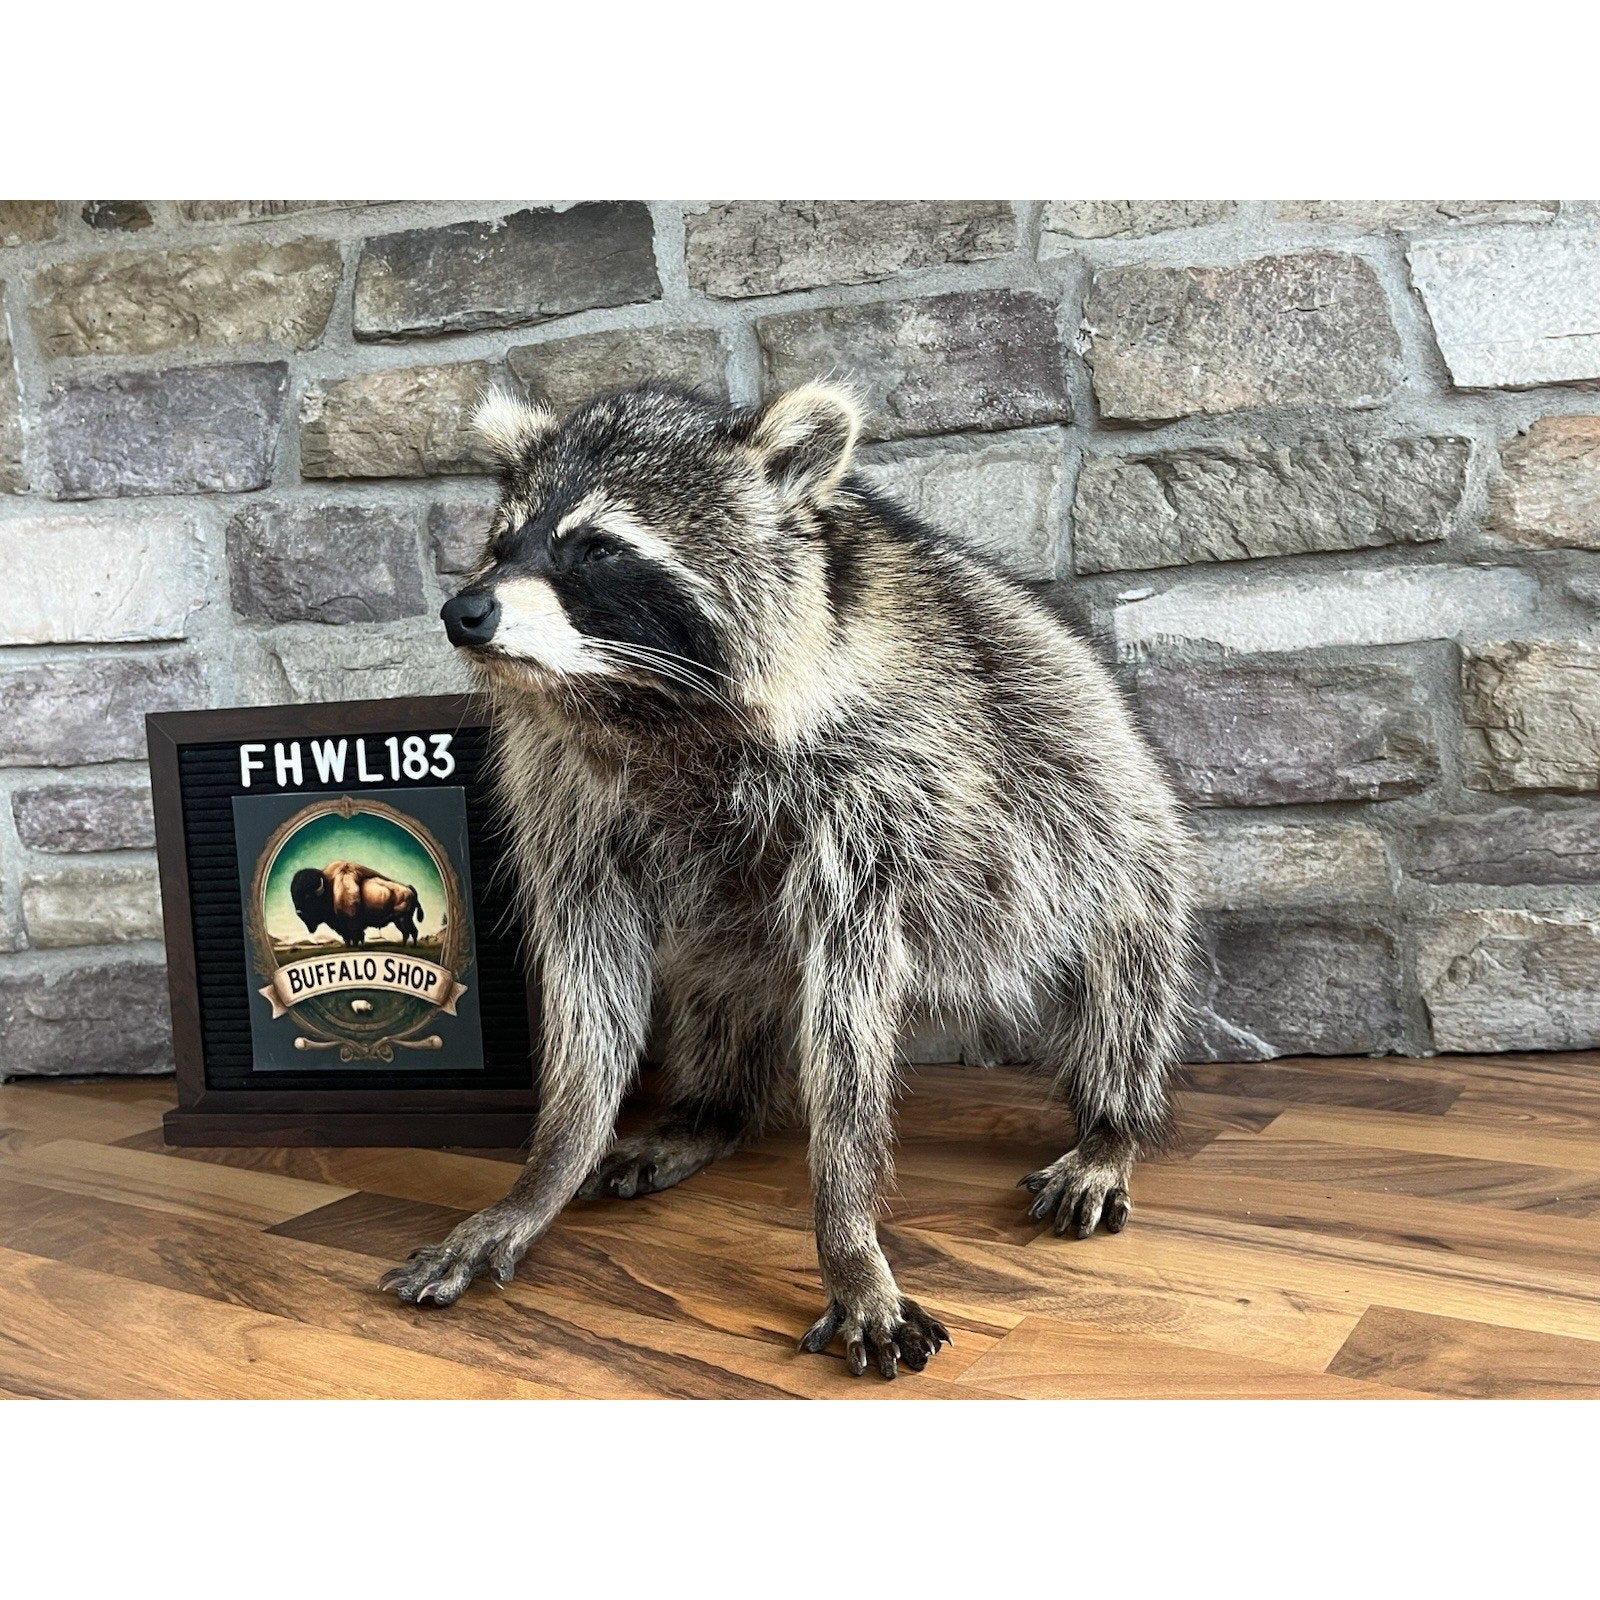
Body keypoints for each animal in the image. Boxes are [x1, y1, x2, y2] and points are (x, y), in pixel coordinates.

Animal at [378, 379, 1193, 1379]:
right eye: (503, 545)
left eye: (598, 547)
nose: (465, 612)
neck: (645, 703)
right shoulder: (568, 800)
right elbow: (589, 987)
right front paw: (545, 1171)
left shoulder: (884, 785)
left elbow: (849, 1017)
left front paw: (847, 1236)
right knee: (718, 986)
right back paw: (709, 1110)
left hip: (1109, 828)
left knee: (1124, 977)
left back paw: (1113, 1121)